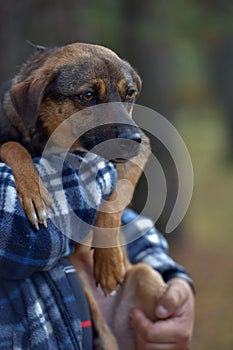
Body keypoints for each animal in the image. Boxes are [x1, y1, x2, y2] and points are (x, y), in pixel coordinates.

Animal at [0, 43, 167, 348]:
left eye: (130, 94)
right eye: (88, 96)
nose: (132, 139)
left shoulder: (140, 151)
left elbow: (117, 196)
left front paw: (109, 260)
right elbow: (12, 147)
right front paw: (34, 192)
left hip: (146, 278)